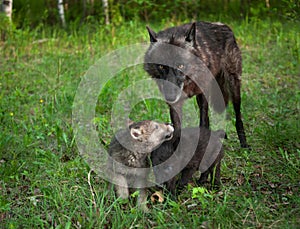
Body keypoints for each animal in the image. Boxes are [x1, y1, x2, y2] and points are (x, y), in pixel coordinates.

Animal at [144, 20, 247, 148]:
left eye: (181, 65)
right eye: (161, 66)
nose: (170, 97)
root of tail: (223, 25)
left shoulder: (203, 94)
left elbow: (203, 121)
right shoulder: (176, 105)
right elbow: (178, 129)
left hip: (234, 87)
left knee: (238, 115)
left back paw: (244, 143)